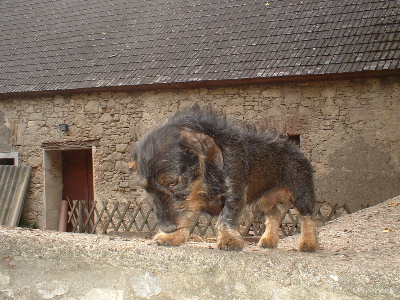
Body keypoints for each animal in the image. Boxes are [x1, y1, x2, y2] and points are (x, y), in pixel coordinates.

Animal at [131, 105, 318, 251]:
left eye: (173, 182)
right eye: (147, 189)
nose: (167, 228)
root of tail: (295, 148)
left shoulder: (233, 191)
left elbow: (226, 216)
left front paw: (228, 239)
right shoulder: (193, 199)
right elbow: (187, 215)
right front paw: (173, 237)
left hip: (300, 193)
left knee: (307, 216)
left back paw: (308, 243)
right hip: (263, 201)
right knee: (275, 214)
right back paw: (268, 240)